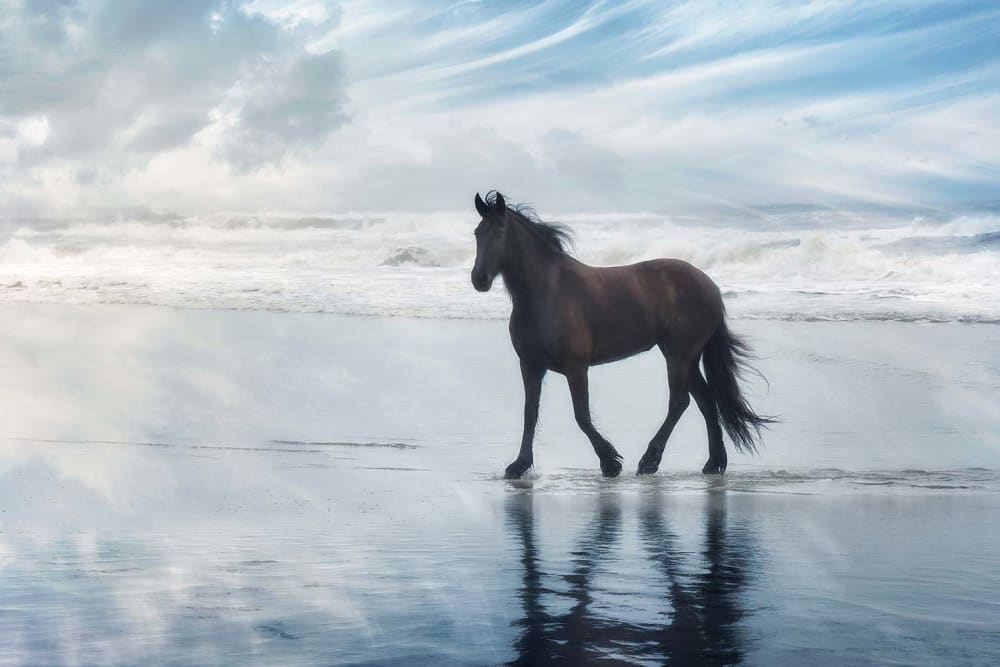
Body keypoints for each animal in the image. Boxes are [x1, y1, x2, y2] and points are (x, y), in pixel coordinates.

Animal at [470, 191, 774, 479]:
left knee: (680, 402)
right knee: (706, 400)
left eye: (499, 231)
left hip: (680, 355)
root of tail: (710, 286)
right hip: (684, 356)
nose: (479, 279)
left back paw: (649, 461)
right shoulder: (531, 366)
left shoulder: (576, 367)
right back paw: (713, 463)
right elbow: (530, 414)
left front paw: (610, 462)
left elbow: (581, 415)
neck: (547, 293)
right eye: (476, 233)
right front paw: (519, 465)